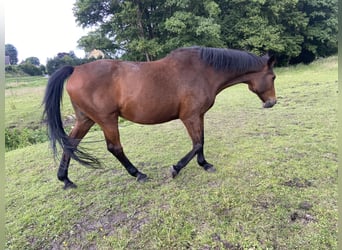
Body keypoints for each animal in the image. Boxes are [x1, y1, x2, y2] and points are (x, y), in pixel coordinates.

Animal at [43, 47, 278, 188]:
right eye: (273, 77)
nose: (272, 102)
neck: (203, 71)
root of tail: (75, 69)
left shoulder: (198, 116)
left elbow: (200, 142)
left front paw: (204, 164)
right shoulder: (189, 117)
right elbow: (196, 143)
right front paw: (176, 169)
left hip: (86, 119)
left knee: (70, 144)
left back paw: (65, 179)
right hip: (107, 119)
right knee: (114, 148)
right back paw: (138, 174)